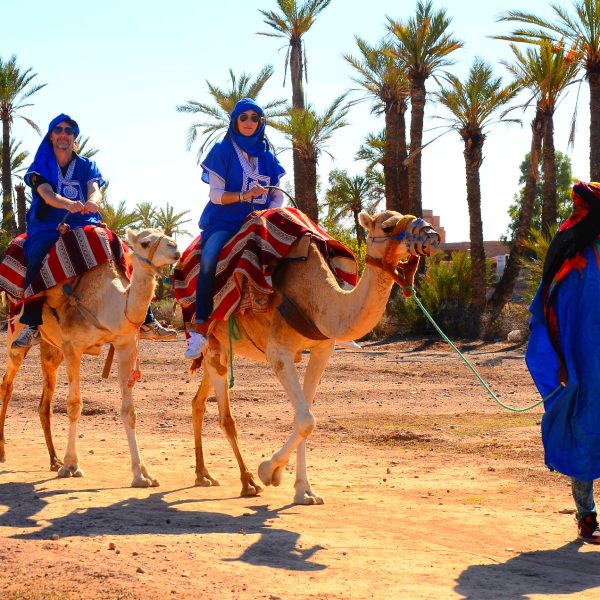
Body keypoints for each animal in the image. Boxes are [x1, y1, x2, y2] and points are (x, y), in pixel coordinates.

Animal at [0, 227, 180, 486]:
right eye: (145, 243)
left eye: (164, 235)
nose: (175, 248)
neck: (106, 304)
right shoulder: (73, 347)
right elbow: (74, 405)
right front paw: (72, 466)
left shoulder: (125, 344)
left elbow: (129, 411)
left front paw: (142, 474)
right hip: (16, 337)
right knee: (7, 385)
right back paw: (4, 452)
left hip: (52, 350)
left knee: (45, 403)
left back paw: (54, 460)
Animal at [185, 209, 438, 504]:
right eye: (387, 227)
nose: (431, 236)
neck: (317, 297)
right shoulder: (278, 351)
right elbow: (306, 419)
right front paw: (268, 472)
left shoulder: (322, 350)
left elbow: (304, 417)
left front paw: (304, 491)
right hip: (212, 343)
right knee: (226, 417)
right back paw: (247, 482)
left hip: (221, 351)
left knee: (198, 402)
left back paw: (203, 475)